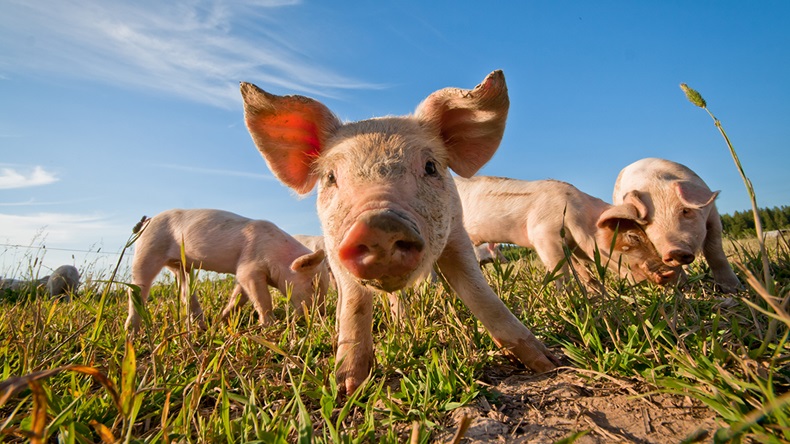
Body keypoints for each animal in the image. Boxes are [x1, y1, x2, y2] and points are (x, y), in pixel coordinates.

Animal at [124, 209, 329, 331]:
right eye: (313, 283)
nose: (321, 315)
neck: (278, 255)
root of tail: (148, 220)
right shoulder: (249, 266)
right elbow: (262, 298)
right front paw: (271, 325)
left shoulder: (244, 274)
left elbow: (239, 297)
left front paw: (221, 321)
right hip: (148, 248)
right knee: (137, 288)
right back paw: (131, 331)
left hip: (181, 266)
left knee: (185, 291)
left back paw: (202, 325)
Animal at [240, 70, 559, 394]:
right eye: (330, 177)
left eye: (430, 166)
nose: (378, 224)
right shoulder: (333, 247)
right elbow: (354, 303)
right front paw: (348, 387)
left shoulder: (457, 232)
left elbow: (479, 293)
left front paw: (548, 364)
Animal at [455, 176, 677, 289]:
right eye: (633, 236)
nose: (670, 273)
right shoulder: (543, 234)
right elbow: (561, 274)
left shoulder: (570, 246)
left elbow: (586, 274)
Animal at [612, 158, 741, 293]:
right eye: (647, 222)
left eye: (685, 210)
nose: (674, 250)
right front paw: (684, 289)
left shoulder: (712, 214)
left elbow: (715, 251)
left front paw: (734, 289)